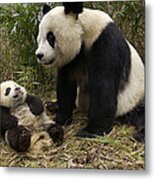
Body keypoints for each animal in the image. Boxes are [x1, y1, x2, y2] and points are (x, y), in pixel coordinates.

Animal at [35, 2, 145, 141]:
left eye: (50, 37)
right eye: (39, 38)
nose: (39, 55)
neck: (84, 29)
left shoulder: (104, 43)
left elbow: (102, 87)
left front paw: (91, 131)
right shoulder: (73, 59)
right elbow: (66, 85)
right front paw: (61, 118)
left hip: (133, 100)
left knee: (140, 115)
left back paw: (140, 134)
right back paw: (51, 105)